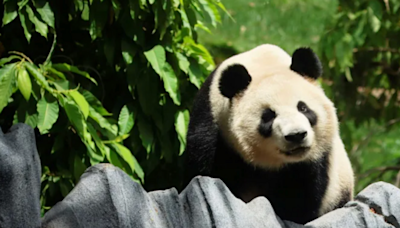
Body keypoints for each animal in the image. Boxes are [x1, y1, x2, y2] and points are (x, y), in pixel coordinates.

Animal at [183, 43, 354, 224]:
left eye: (303, 108)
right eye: (268, 116)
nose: (296, 135)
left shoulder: (316, 161)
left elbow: (299, 203)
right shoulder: (212, 125)